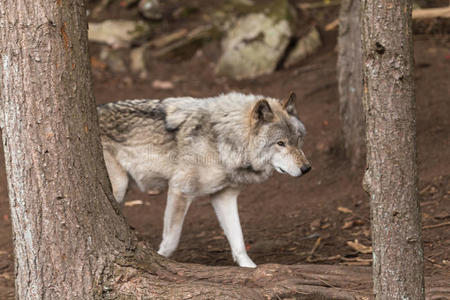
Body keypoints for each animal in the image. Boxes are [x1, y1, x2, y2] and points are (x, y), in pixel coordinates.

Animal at [97, 91, 310, 268]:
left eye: (298, 140)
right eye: (280, 143)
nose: (307, 168)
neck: (221, 140)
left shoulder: (224, 197)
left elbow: (239, 242)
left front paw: (251, 269)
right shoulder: (180, 190)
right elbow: (170, 242)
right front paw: (158, 262)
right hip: (119, 187)